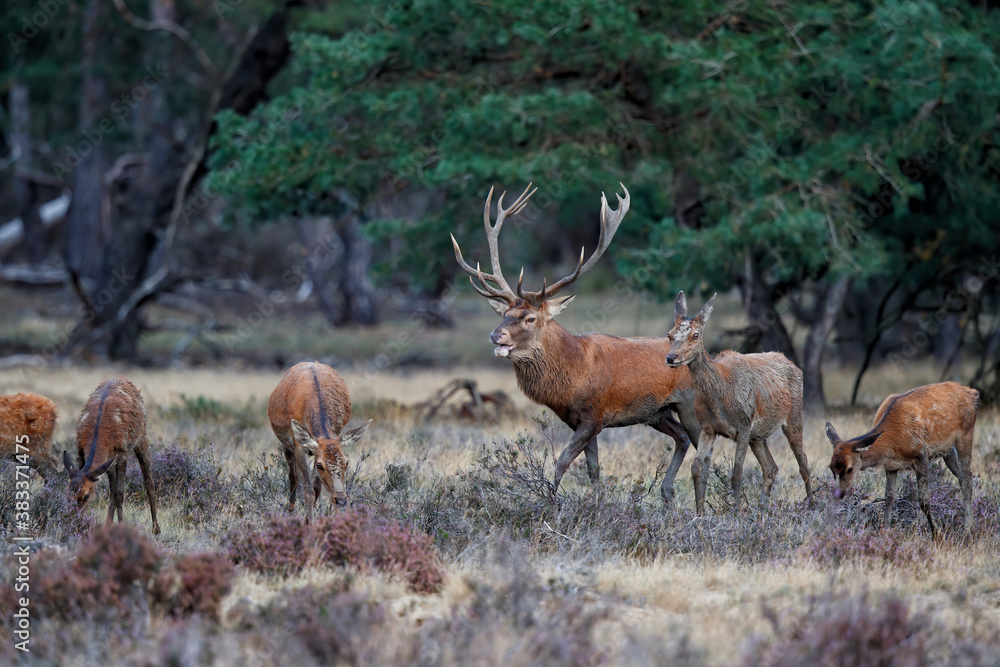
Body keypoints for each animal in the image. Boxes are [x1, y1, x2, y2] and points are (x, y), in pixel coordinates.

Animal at [63, 378, 160, 536]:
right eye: (68, 492)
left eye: (86, 496)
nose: (72, 519)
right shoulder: (80, 451)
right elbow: (113, 491)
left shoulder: (122, 453)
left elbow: (120, 493)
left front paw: (121, 527)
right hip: (110, 462)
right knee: (113, 488)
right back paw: (107, 525)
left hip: (142, 437)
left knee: (149, 482)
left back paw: (156, 529)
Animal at [268, 362, 374, 524]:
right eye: (320, 465)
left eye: (347, 462)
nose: (341, 500)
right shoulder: (299, 445)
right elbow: (308, 491)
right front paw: (309, 526)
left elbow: (317, 489)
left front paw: (308, 521)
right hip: (286, 445)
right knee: (293, 477)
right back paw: (289, 511)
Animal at [450, 181, 700, 500]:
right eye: (504, 314)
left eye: (530, 318)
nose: (496, 335)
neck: (572, 377)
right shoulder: (577, 420)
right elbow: (593, 470)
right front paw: (596, 502)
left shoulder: (595, 415)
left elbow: (562, 462)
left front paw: (551, 501)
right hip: (658, 413)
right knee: (682, 438)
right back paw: (667, 495)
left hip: (691, 404)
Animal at [664, 290, 812, 516]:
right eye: (670, 334)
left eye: (695, 335)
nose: (671, 357)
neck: (720, 397)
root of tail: (793, 365)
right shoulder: (708, 428)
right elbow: (696, 468)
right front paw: (699, 515)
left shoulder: (743, 425)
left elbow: (737, 474)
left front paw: (736, 514)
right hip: (758, 436)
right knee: (771, 468)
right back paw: (762, 508)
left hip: (793, 416)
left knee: (803, 463)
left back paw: (814, 504)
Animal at [824, 380, 980, 536]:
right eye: (831, 467)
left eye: (850, 468)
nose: (838, 494)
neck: (892, 445)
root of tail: (972, 393)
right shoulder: (890, 466)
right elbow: (889, 498)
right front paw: (885, 531)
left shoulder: (921, 456)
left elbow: (924, 500)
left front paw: (937, 534)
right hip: (947, 450)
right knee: (962, 478)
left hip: (966, 435)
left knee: (967, 479)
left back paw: (968, 530)